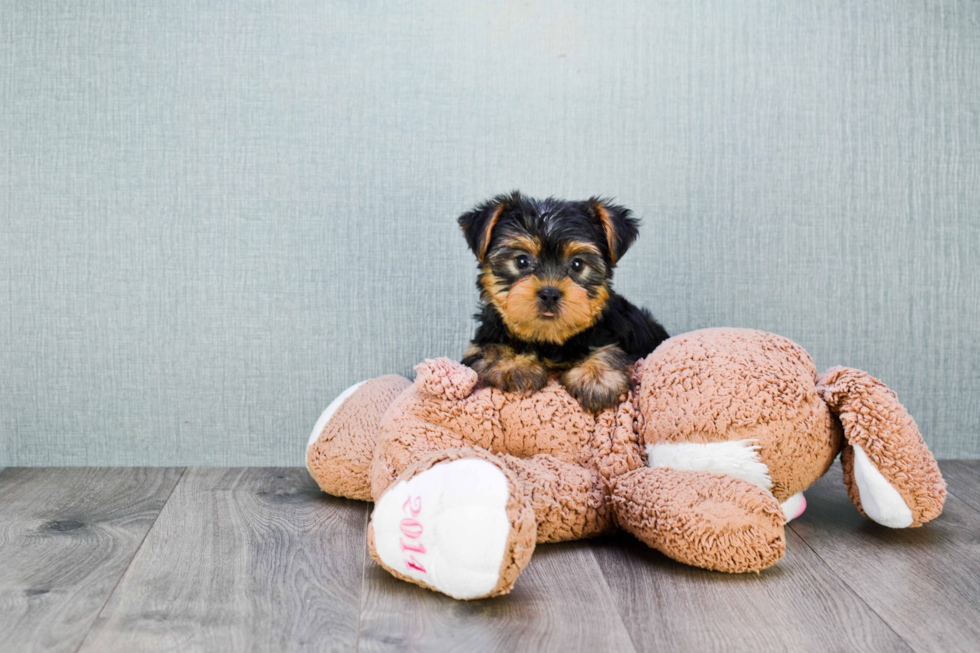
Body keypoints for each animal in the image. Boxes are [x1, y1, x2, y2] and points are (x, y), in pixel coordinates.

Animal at [456, 191, 668, 410]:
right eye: (521, 261)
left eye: (577, 264)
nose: (550, 293)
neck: (548, 339)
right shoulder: (481, 341)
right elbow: (490, 348)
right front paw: (513, 365)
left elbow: (611, 351)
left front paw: (596, 378)